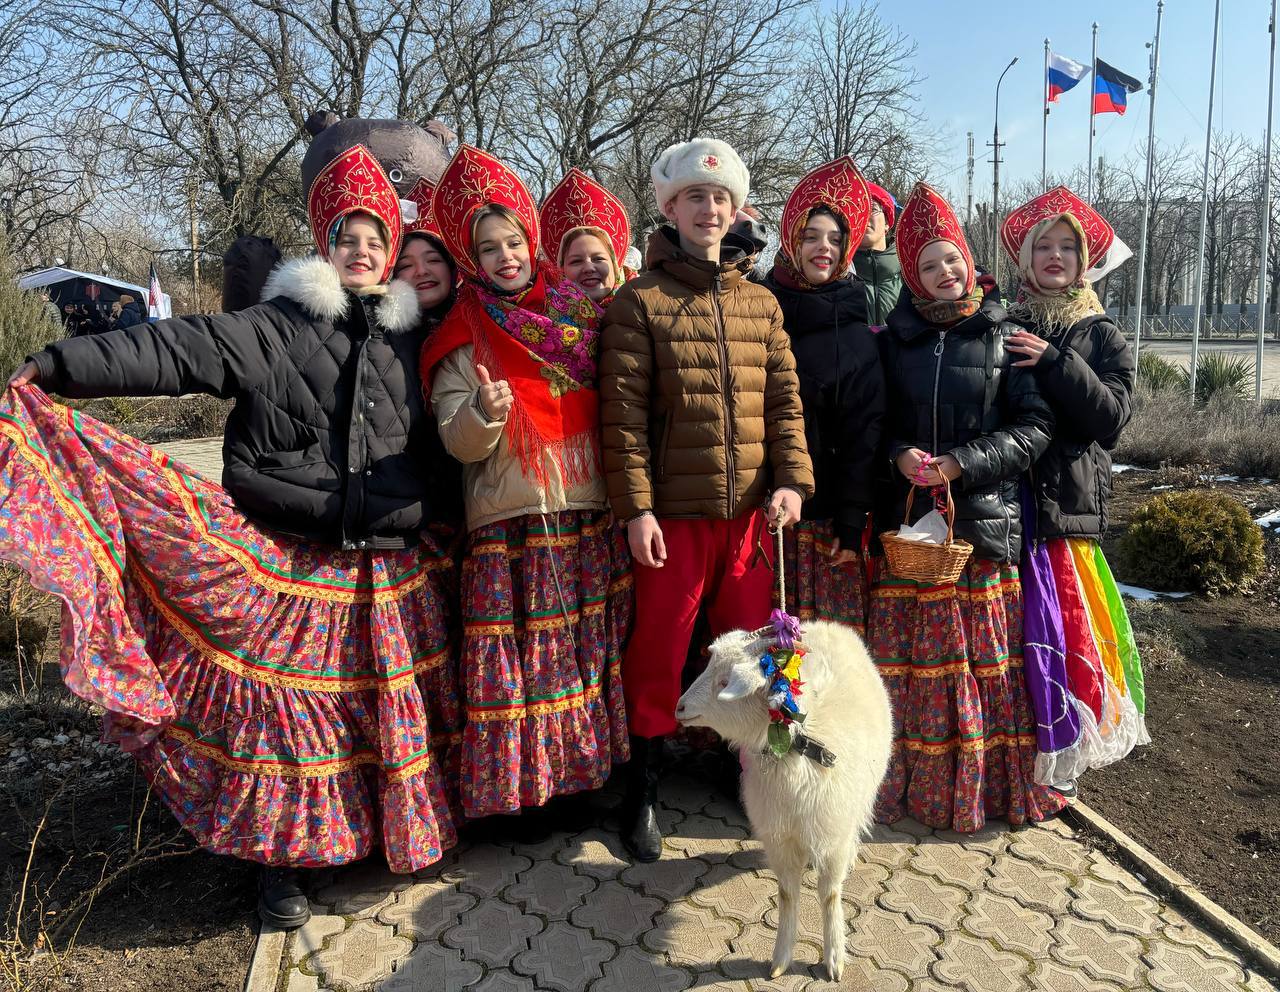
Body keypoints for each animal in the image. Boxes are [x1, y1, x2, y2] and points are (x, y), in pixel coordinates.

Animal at [675, 616, 896, 983]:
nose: (679, 708)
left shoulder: (832, 833)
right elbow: (787, 894)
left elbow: (830, 894)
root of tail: (826, 623)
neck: (799, 745)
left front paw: (834, 958)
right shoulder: (779, 836)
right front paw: (780, 959)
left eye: (725, 681)